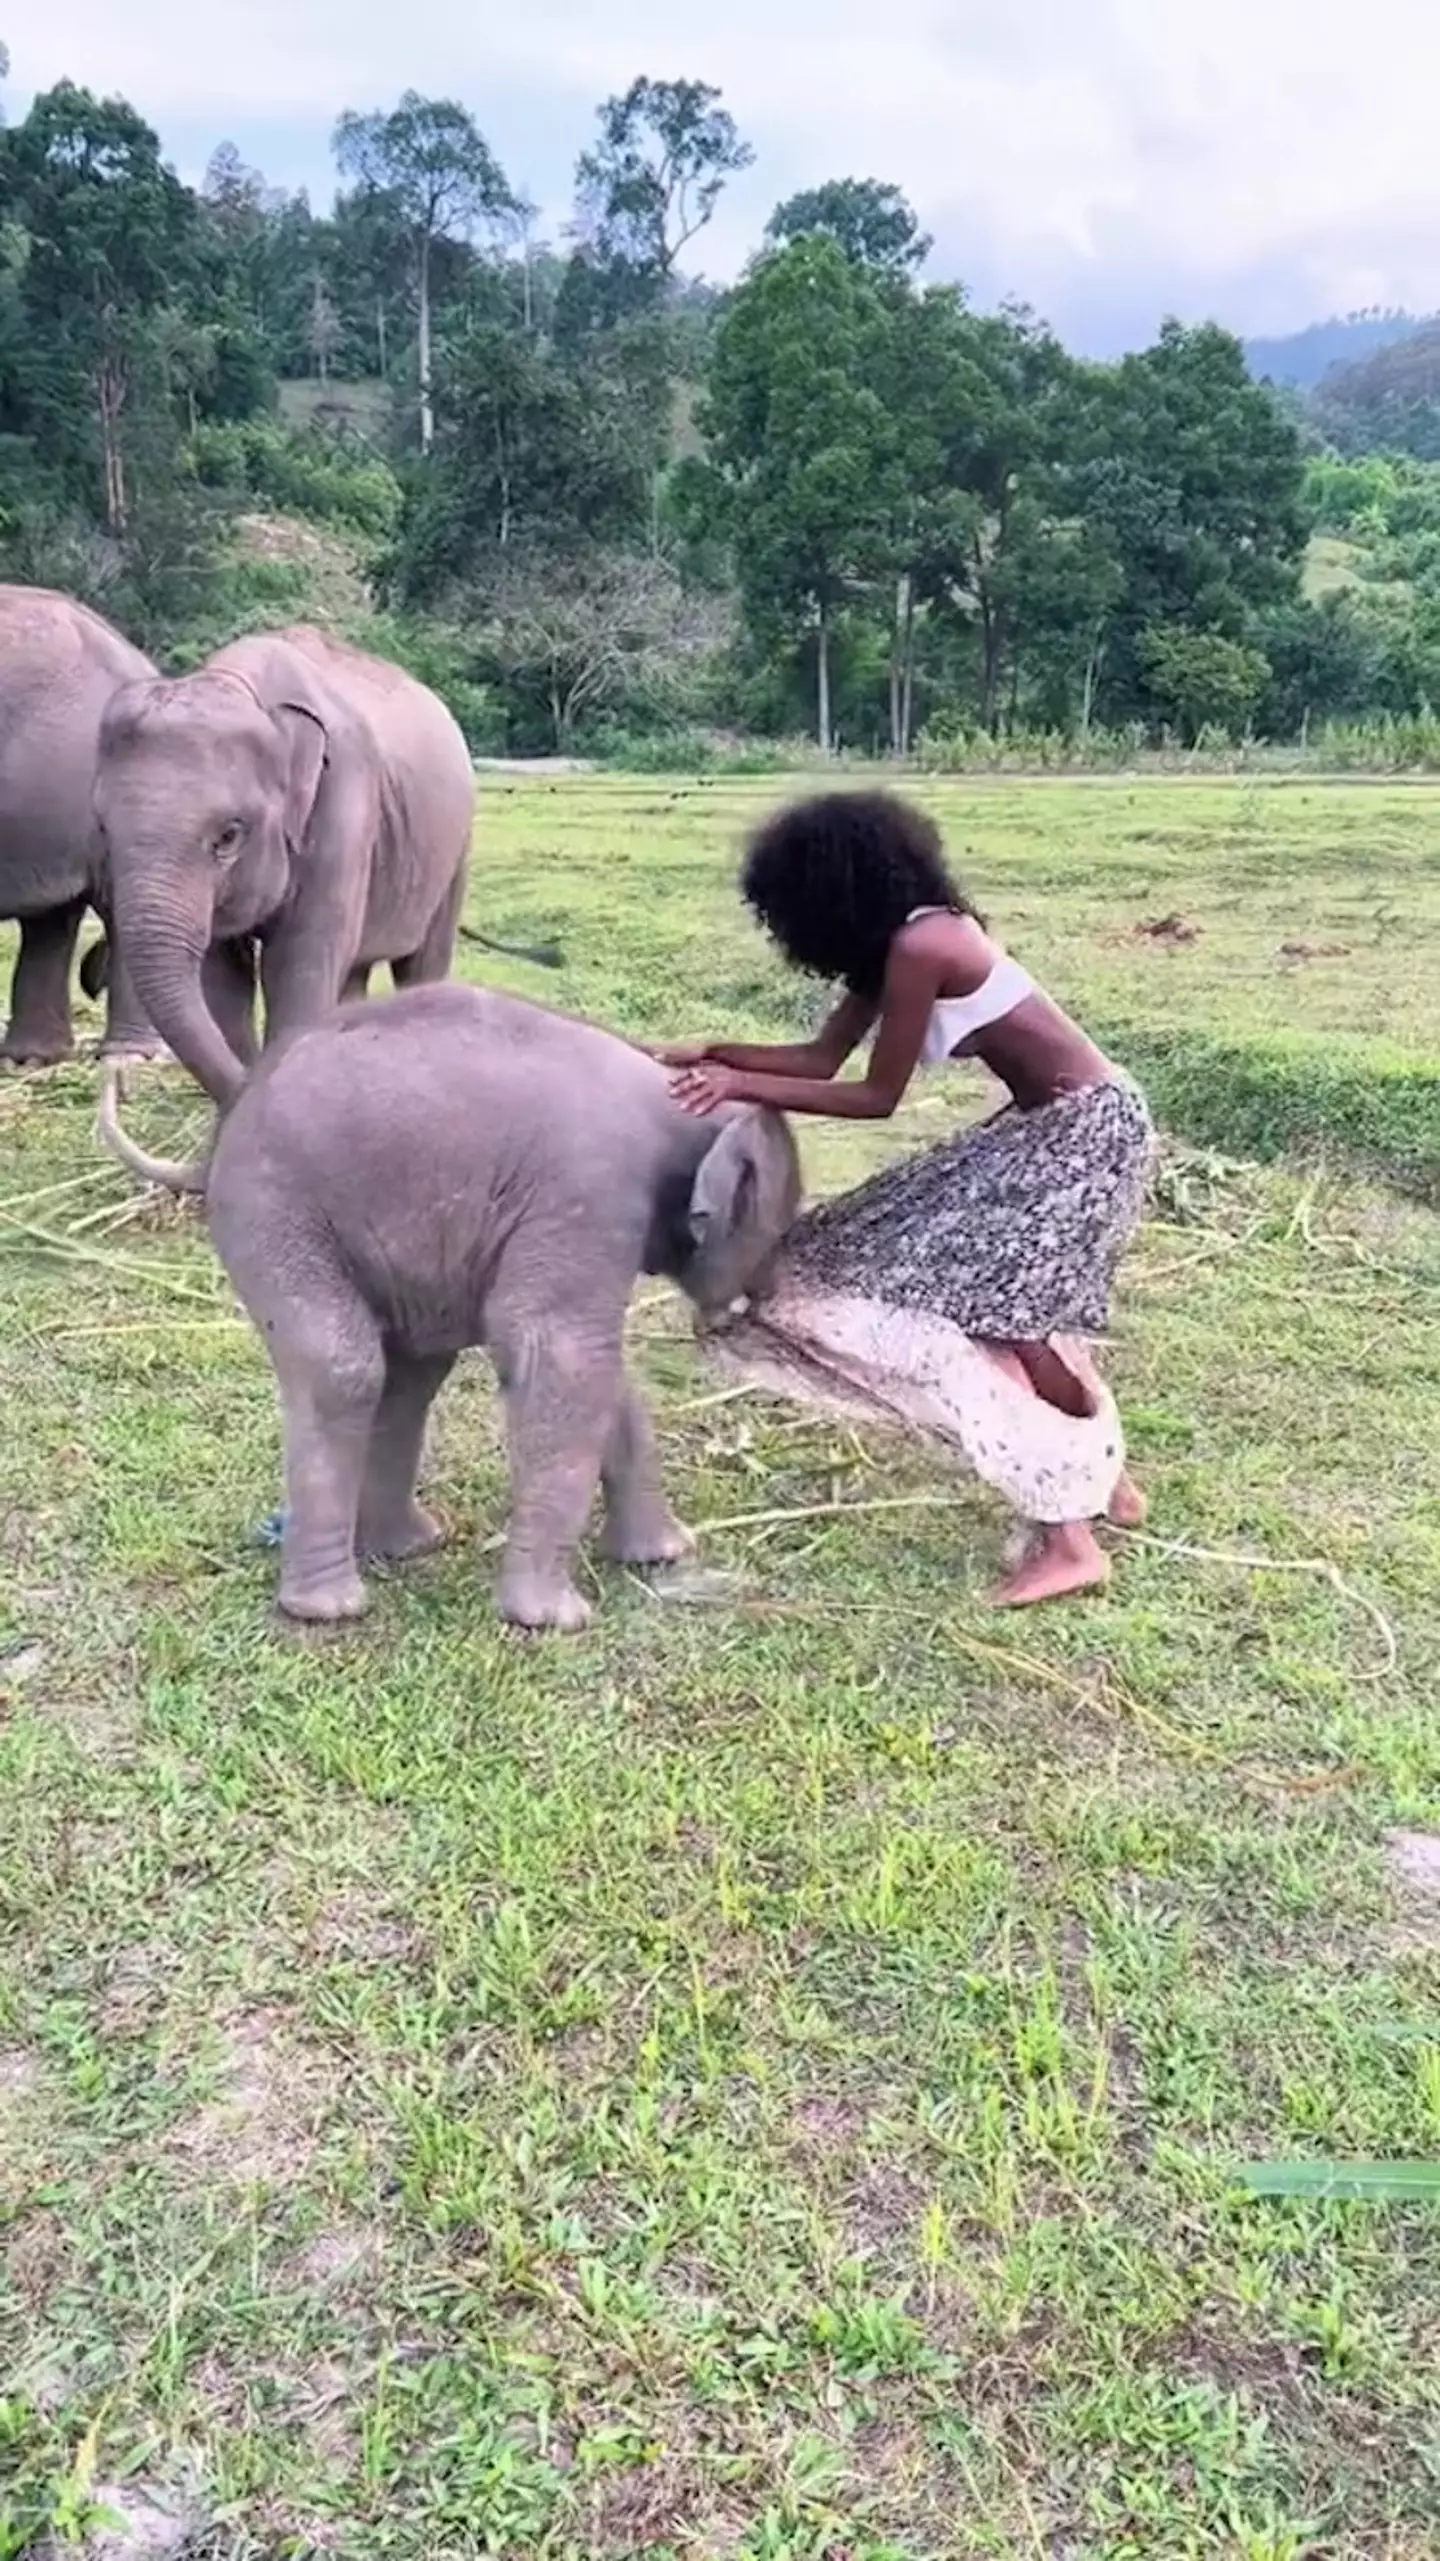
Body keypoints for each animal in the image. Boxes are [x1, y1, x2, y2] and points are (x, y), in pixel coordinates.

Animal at [96, 627, 476, 1111]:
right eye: (103, 828)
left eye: (228, 835)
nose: (118, 1085)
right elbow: (223, 979)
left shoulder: (345, 807)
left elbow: (299, 963)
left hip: (455, 850)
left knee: (422, 962)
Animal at [196, 988, 794, 1628]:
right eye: (780, 1231)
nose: (756, 1300)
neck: (676, 1096)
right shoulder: (589, 1194)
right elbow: (558, 1356)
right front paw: (554, 1620)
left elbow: (603, 1374)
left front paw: (664, 1555)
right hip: (276, 1208)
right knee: (345, 1368)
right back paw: (329, 1608)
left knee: (412, 1376)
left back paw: (405, 1545)